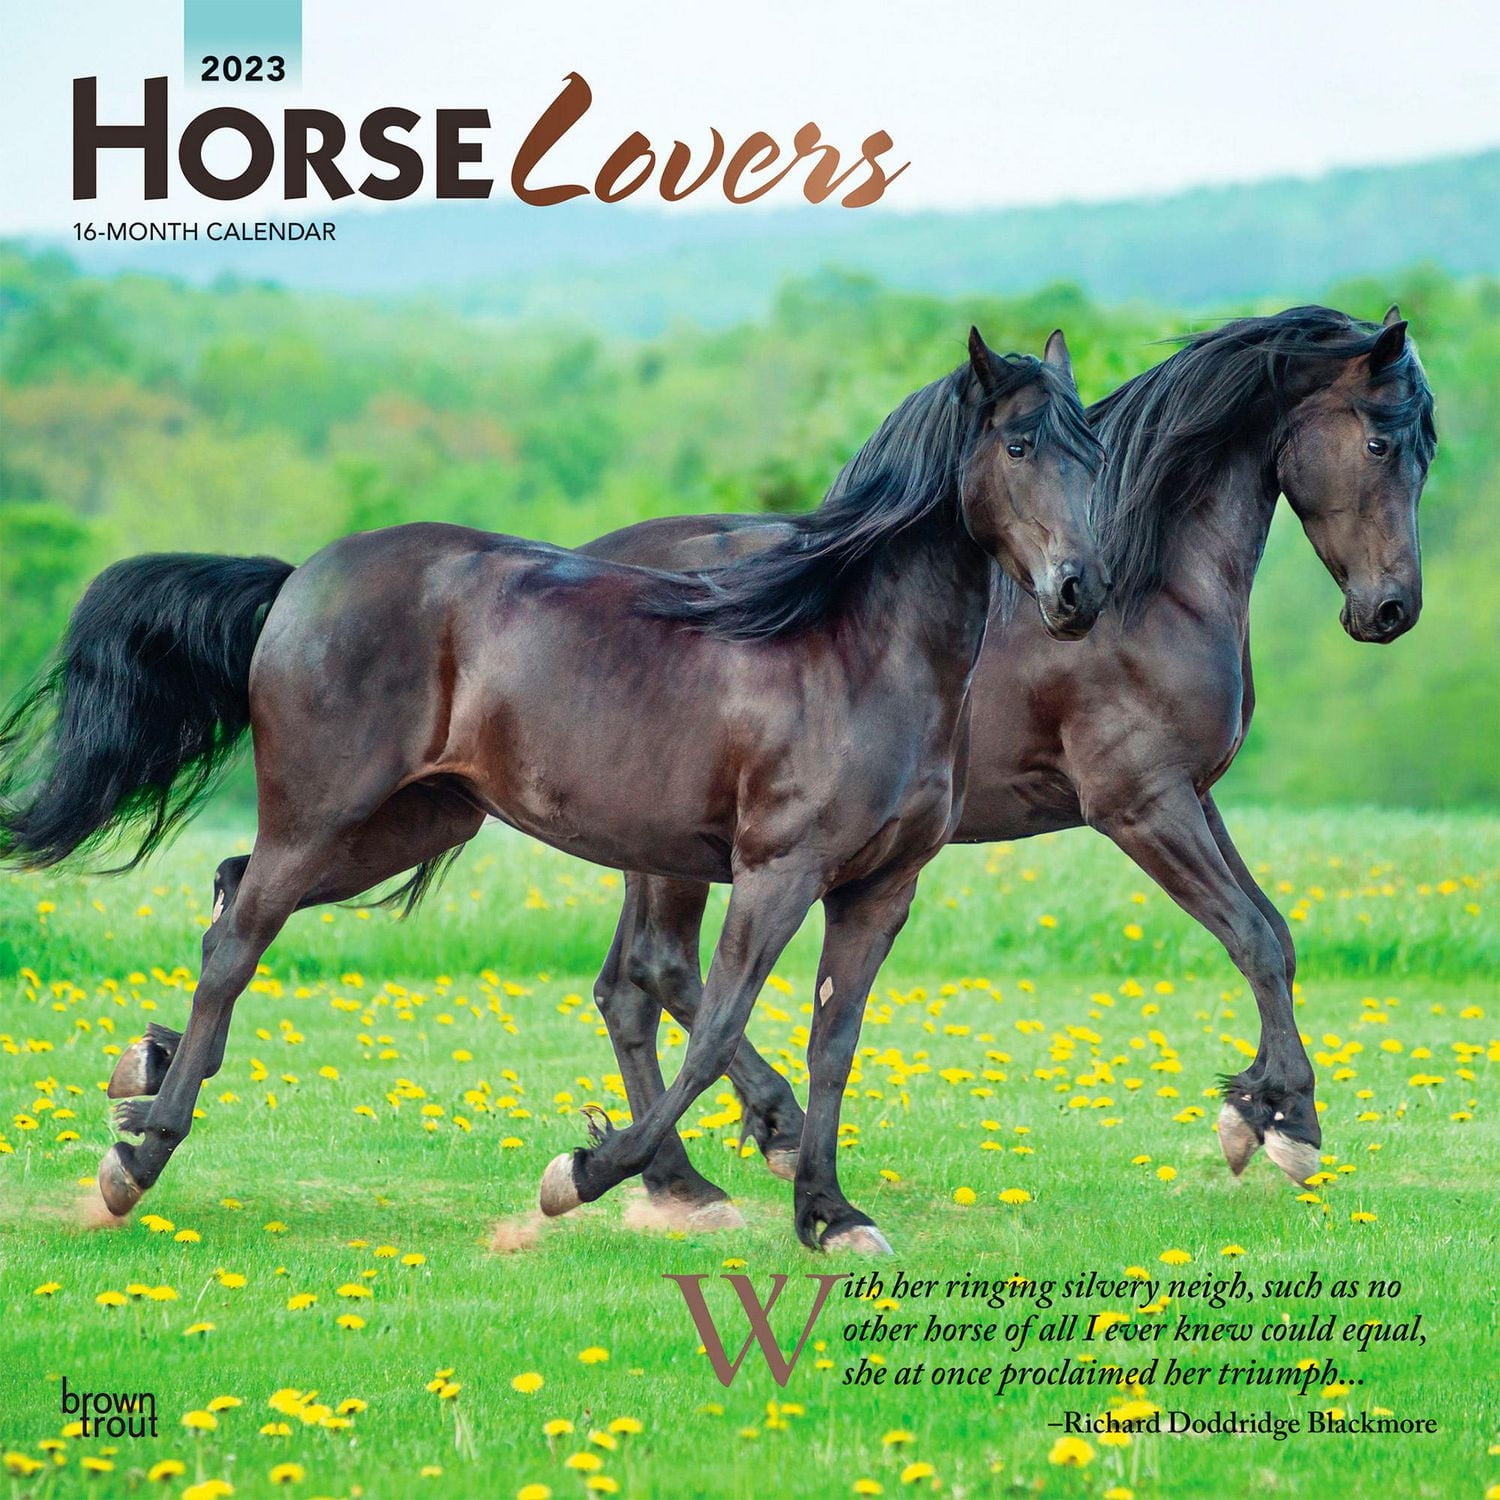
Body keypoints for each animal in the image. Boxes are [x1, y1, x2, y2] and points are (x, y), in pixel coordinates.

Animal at [0, 328, 1108, 1253]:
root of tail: (299, 581)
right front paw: (584, 1172)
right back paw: (136, 1158)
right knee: (239, 941)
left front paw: (831, 1217)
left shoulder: (880, 889)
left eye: (1093, 454)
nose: (1079, 593)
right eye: (1018, 446)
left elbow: (834, 1043)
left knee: (229, 895)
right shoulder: (777, 871)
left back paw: (144, 1076)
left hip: (410, 822)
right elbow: (716, 1025)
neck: (855, 653)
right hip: (323, 816)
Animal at [576, 305, 1437, 1203]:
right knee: (666, 971)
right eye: (1381, 442)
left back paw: (675, 1178)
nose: (1391, 609)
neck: (1153, 587)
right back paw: (755, 1134)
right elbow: (1251, 938)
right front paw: (1287, 1124)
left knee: (625, 991)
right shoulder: (1142, 804)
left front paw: (1259, 1108)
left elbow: (1277, 933)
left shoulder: (1195, 794)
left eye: (1428, 449)